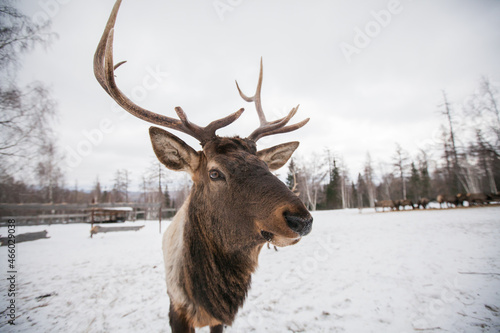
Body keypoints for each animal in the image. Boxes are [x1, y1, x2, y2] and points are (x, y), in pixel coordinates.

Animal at [94, 1, 312, 330]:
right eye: (215, 172)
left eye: (266, 166)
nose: (301, 219)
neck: (207, 297)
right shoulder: (175, 311)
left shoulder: (219, 319)